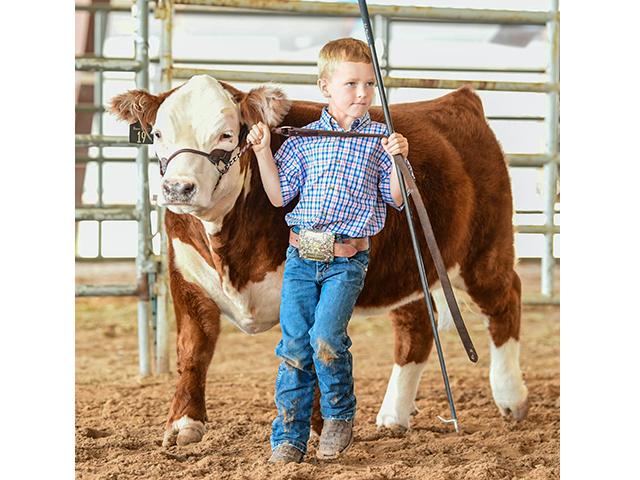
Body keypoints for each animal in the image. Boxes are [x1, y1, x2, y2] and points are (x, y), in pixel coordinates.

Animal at [109, 74, 528, 446]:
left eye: (226, 134)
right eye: (158, 134)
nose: (178, 188)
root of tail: (457, 99)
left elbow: (308, 349)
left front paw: (316, 429)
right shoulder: (186, 276)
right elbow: (194, 348)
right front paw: (183, 424)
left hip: (484, 252)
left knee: (505, 301)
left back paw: (512, 398)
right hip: (409, 268)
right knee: (417, 328)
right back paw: (394, 416)